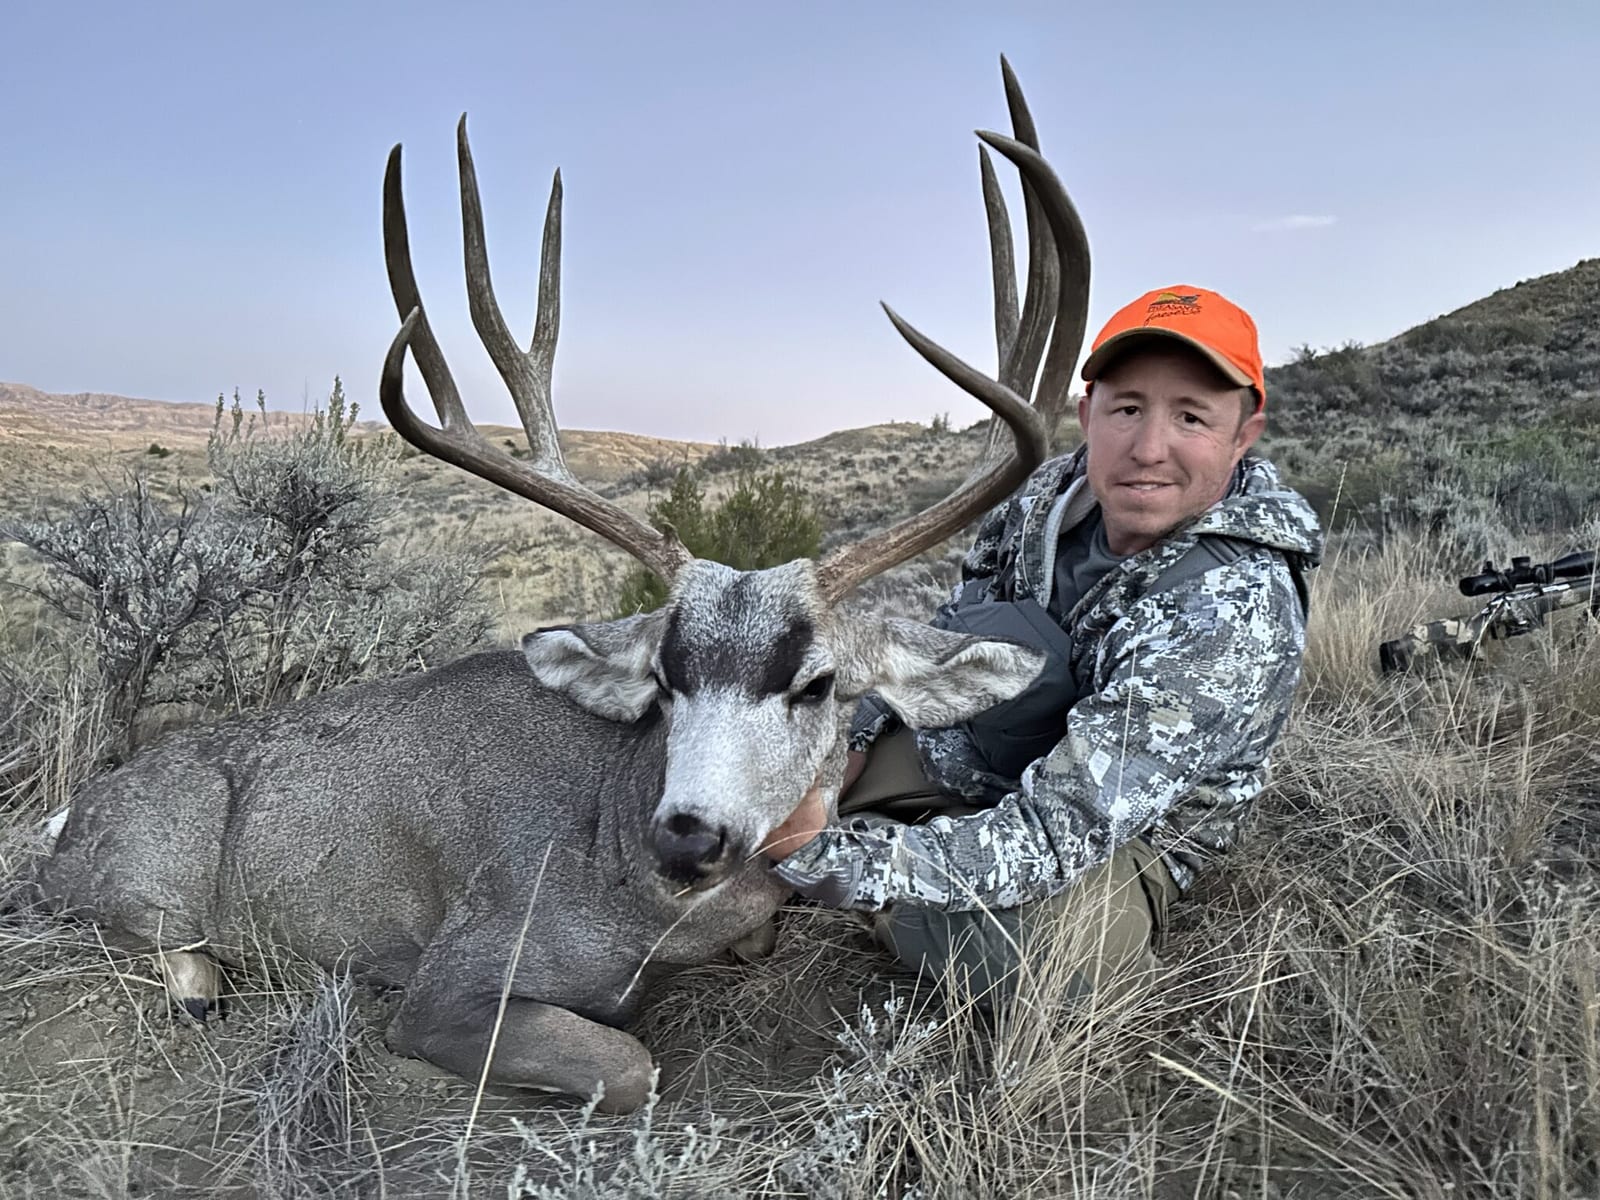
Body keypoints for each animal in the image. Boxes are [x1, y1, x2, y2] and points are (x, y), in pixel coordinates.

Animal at [32, 59, 1090, 1113]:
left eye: (817, 683)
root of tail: (71, 814)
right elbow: (630, 1064)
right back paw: (197, 986)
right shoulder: (453, 976)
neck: (623, 873)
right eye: (665, 678)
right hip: (142, 879)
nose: (687, 837)